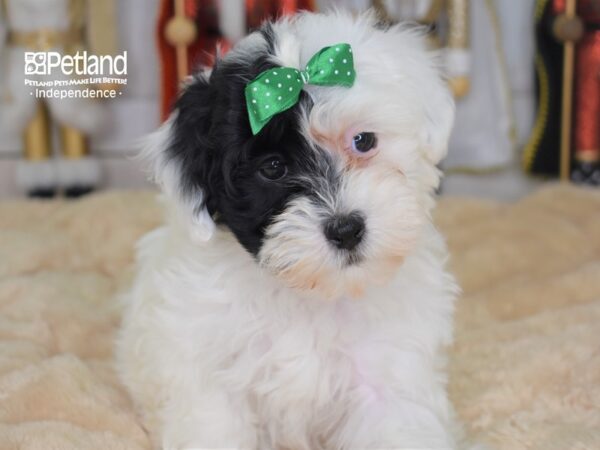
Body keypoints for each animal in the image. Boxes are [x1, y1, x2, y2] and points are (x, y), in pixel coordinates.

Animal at [118, 10, 464, 450]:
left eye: (363, 140)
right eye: (273, 168)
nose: (346, 229)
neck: (310, 294)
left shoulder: (390, 369)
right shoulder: (209, 375)